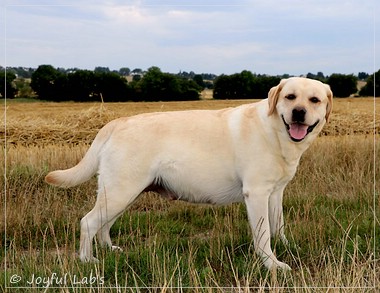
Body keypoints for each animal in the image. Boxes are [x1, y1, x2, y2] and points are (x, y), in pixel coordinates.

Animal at [46, 77, 332, 270]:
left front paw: (286, 247)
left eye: (314, 100)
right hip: (121, 191)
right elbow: (262, 235)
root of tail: (115, 123)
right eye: (290, 97)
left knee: (104, 224)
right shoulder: (257, 193)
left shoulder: (275, 192)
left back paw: (110, 250)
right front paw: (272, 264)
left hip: (122, 193)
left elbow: (278, 225)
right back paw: (88, 260)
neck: (275, 130)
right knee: (88, 222)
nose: (298, 113)